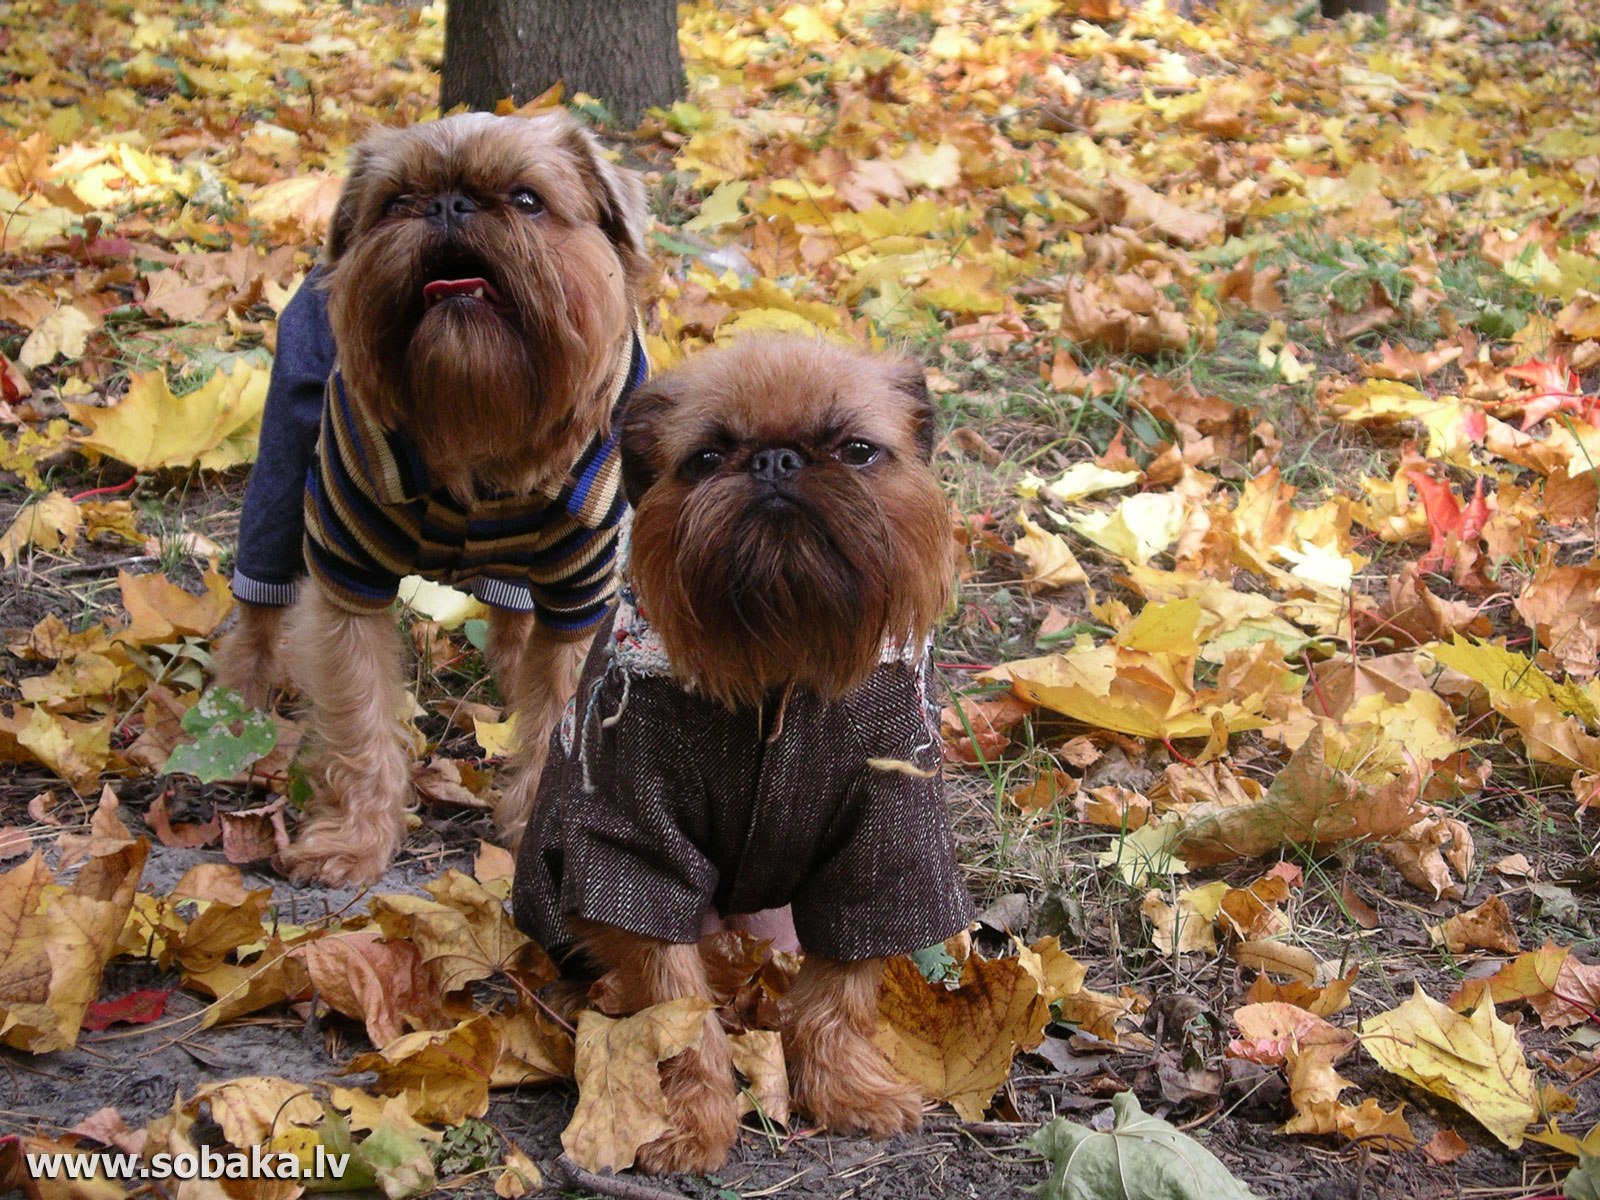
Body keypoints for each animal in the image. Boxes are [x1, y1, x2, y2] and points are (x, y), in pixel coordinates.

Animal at [216, 110, 652, 883]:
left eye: (528, 199)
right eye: (396, 201)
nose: (448, 204)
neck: (477, 428)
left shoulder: (581, 594)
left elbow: (561, 710)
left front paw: (540, 828)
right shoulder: (347, 580)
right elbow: (360, 716)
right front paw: (355, 837)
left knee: (514, 618)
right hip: (278, 475)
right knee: (260, 602)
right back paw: (240, 705)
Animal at [512, 336, 972, 1177]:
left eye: (857, 451)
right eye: (706, 457)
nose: (776, 460)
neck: (780, 663)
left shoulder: (885, 844)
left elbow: (841, 989)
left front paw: (845, 1087)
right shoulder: (637, 848)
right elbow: (677, 1006)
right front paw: (689, 1119)